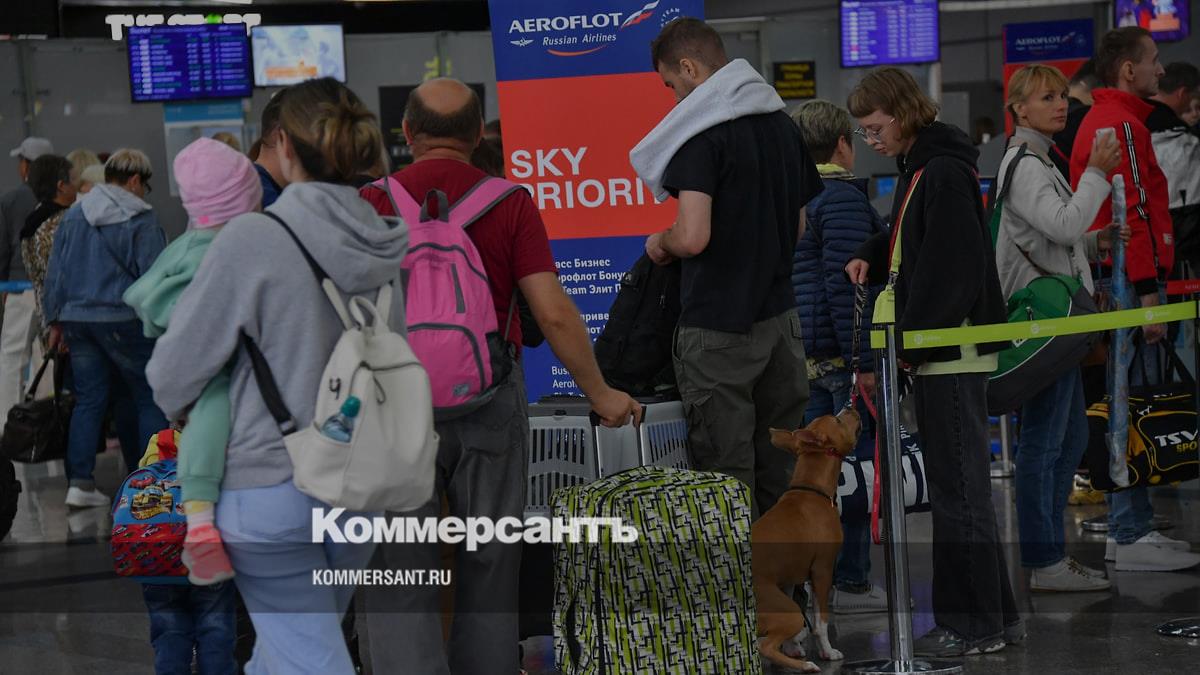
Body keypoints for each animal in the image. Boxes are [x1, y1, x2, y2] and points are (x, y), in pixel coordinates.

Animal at [752, 406, 861, 673]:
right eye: (837, 421)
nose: (850, 406)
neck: (811, 489)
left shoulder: (790, 576)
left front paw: (794, 643)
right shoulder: (822, 570)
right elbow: (820, 621)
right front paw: (827, 651)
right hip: (785, 610)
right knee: (765, 646)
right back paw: (806, 666)